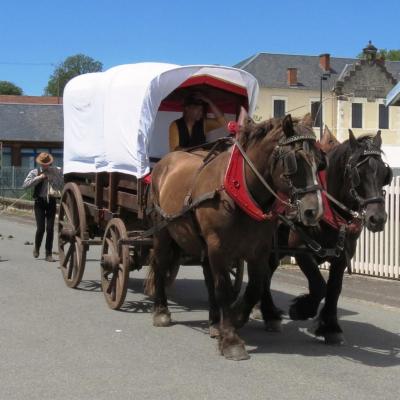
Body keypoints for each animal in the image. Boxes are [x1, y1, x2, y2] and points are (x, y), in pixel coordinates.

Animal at [146, 114, 324, 360]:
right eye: (294, 161)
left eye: (320, 161)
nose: (313, 211)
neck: (240, 192)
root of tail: (166, 160)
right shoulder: (218, 247)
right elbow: (223, 289)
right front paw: (230, 339)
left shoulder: (259, 250)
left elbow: (255, 286)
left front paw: (237, 316)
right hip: (163, 231)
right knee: (161, 264)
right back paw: (161, 310)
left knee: (207, 276)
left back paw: (214, 322)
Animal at [258, 128, 392, 344]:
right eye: (358, 173)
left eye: (384, 173)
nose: (377, 219)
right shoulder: (302, 249)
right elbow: (319, 285)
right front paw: (301, 309)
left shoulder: (343, 255)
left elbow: (334, 288)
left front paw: (330, 326)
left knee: (266, 272)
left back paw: (266, 312)